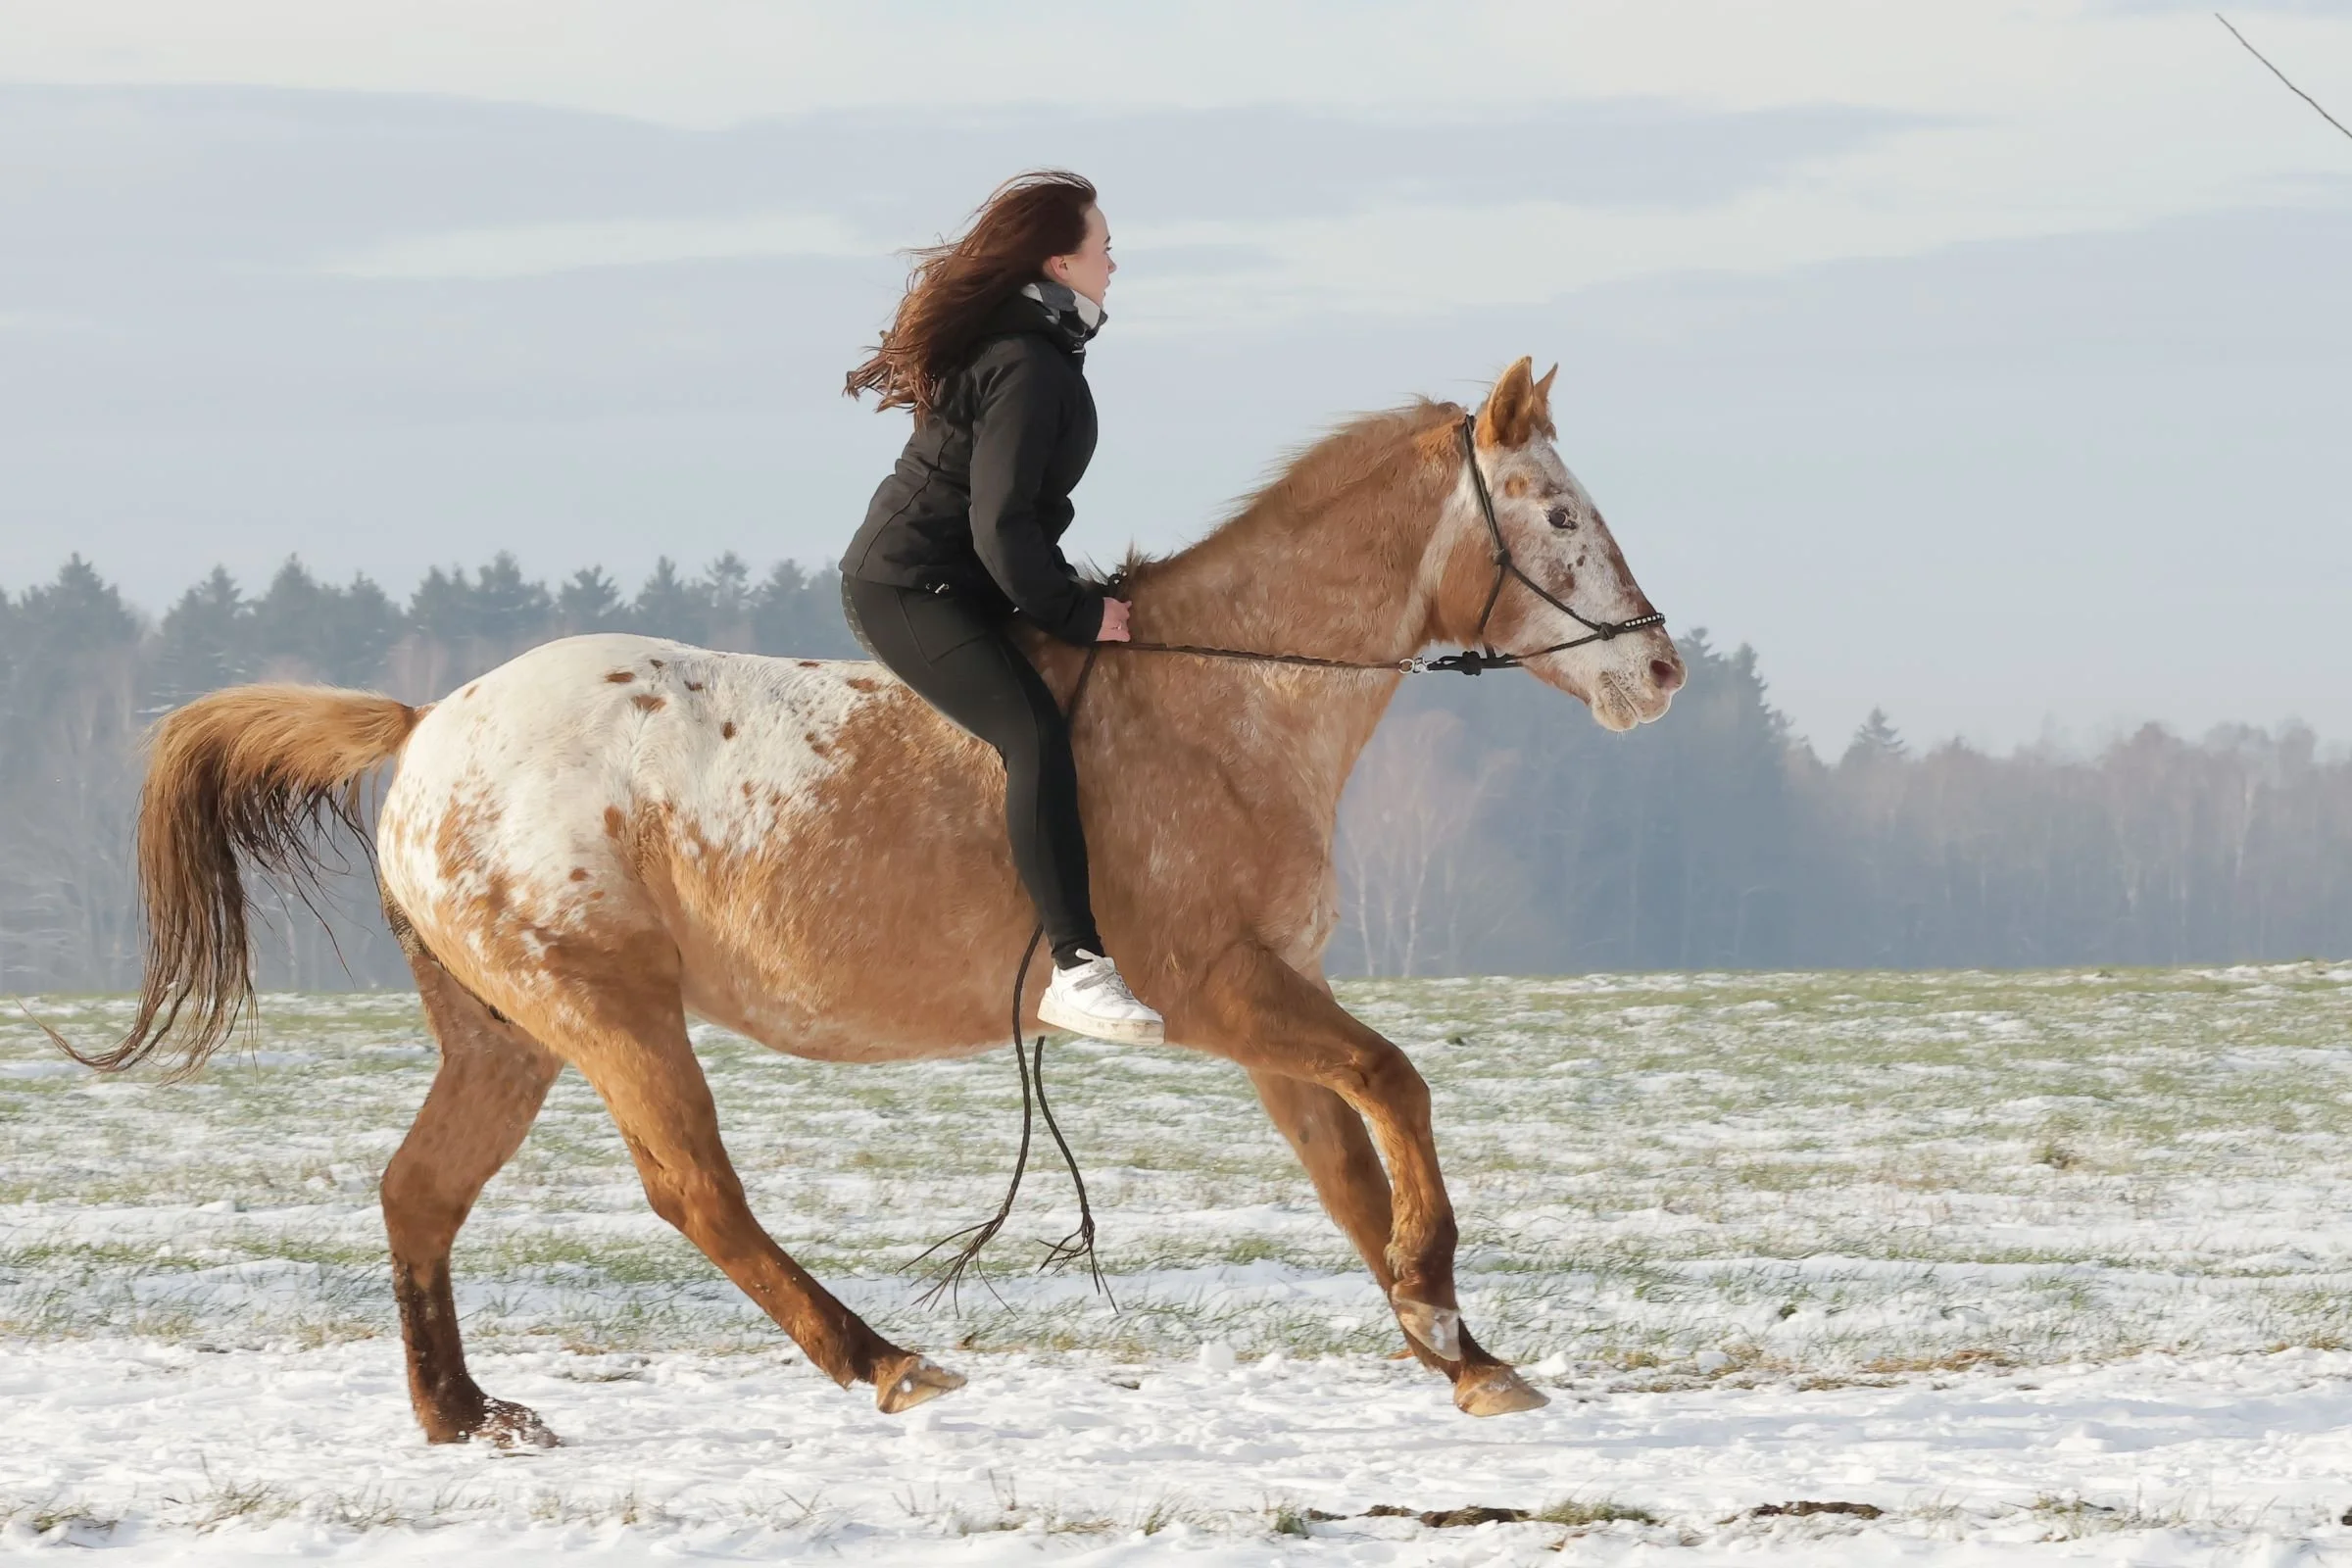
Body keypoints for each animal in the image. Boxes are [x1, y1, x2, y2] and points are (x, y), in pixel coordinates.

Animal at [75, 356, 1683, 1445]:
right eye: (1555, 513)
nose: (1661, 669)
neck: (1220, 702)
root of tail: (427, 731)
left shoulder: (1264, 1011)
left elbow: (1348, 1170)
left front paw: (1461, 1351)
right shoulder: (1221, 991)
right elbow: (1398, 1086)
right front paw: (1439, 1297)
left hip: (507, 1033)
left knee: (421, 1190)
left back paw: (467, 1414)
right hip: (607, 1010)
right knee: (694, 1193)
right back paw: (881, 1358)